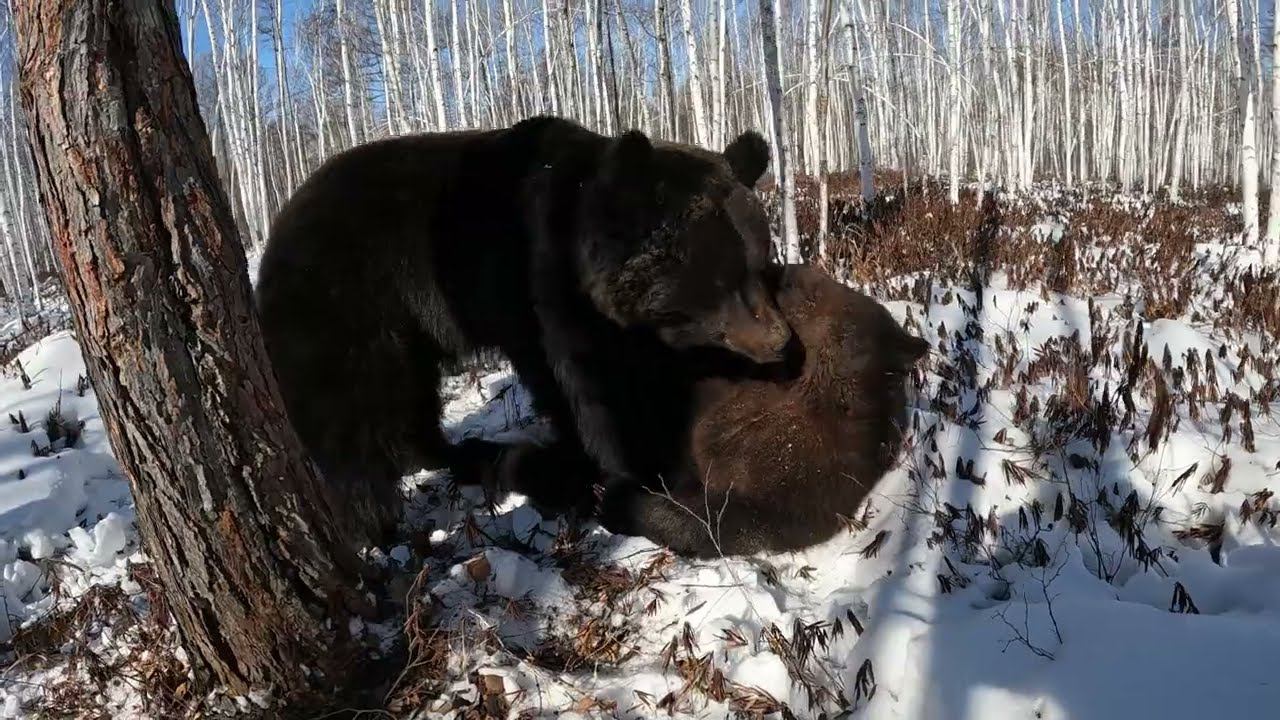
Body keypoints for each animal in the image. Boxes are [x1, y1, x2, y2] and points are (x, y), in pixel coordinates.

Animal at [252, 116, 788, 543]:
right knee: (350, 415)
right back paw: (376, 524)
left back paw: (451, 453)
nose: (781, 342)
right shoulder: (541, 291)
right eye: (722, 279)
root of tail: (278, 226)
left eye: (761, 261)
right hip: (346, 305)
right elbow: (591, 394)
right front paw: (620, 471)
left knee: (412, 399)